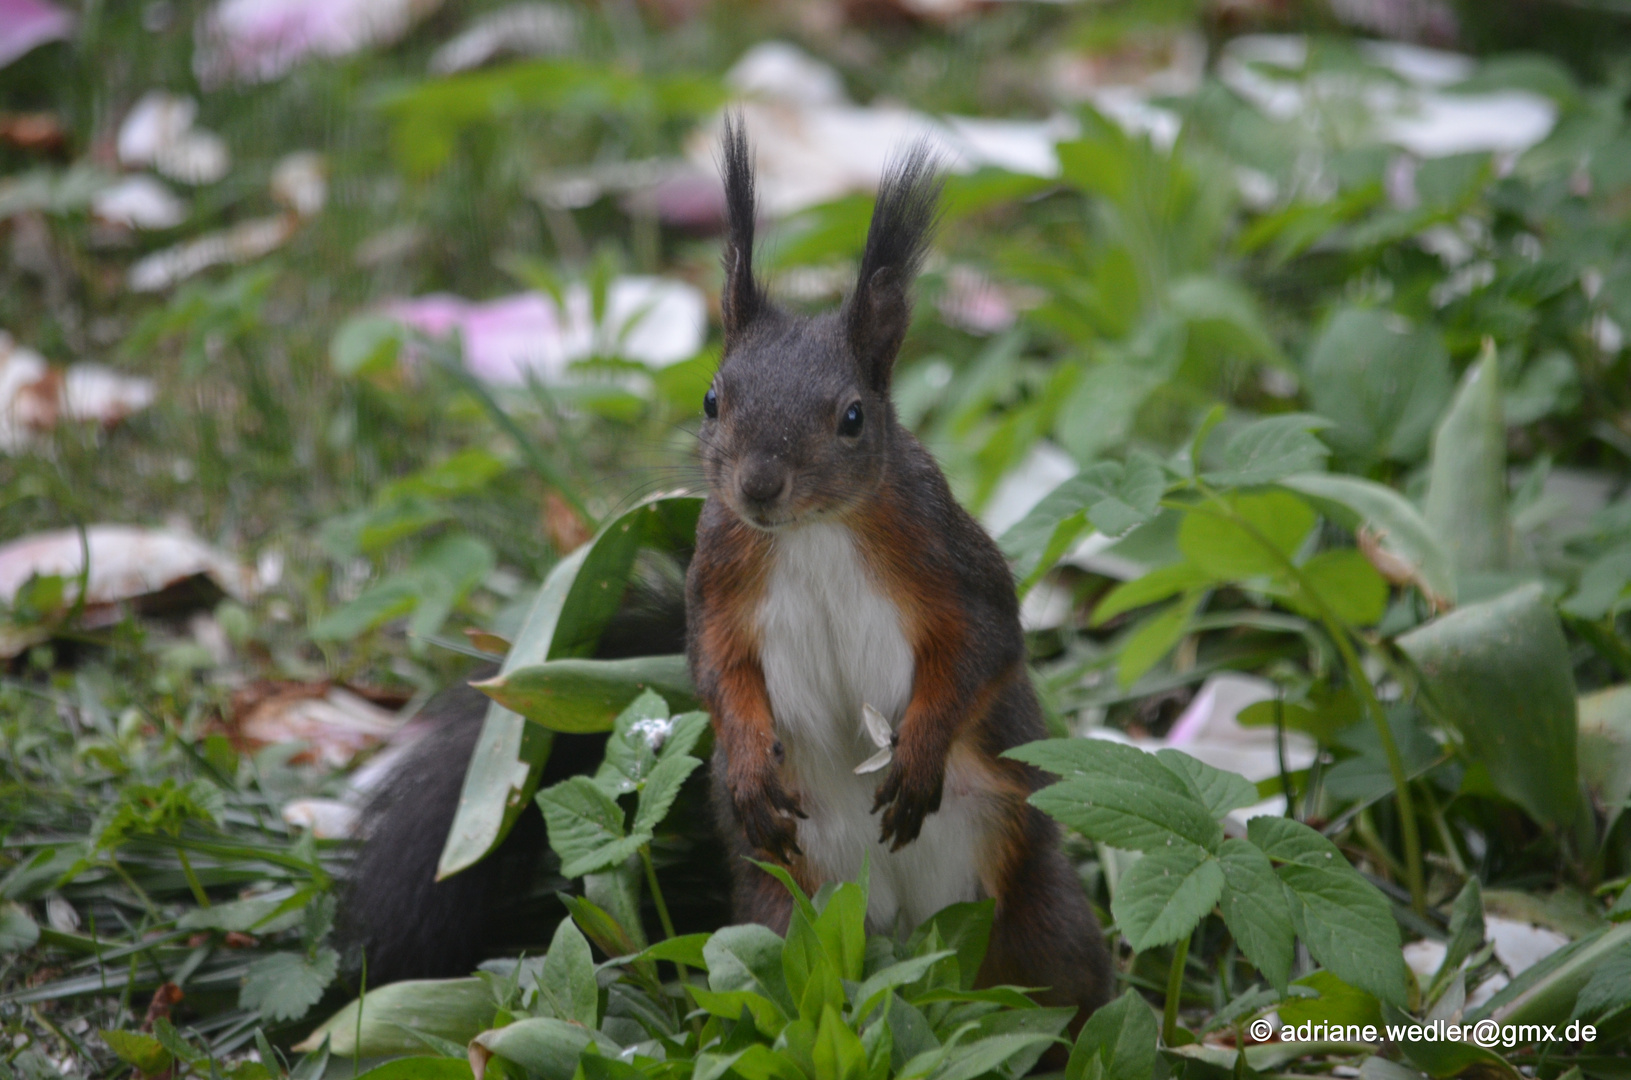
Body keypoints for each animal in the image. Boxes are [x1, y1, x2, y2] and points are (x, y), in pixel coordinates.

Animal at [681, 120, 1115, 1031]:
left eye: (853, 417)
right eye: (711, 401)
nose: (758, 487)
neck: (813, 532)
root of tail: (915, 931)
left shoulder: (947, 556)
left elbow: (984, 649)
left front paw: (917, 753)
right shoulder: (719, 576)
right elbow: (717, 669)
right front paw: (746, 764)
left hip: (1036, 915)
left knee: (1062, 993)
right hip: (784, 921)